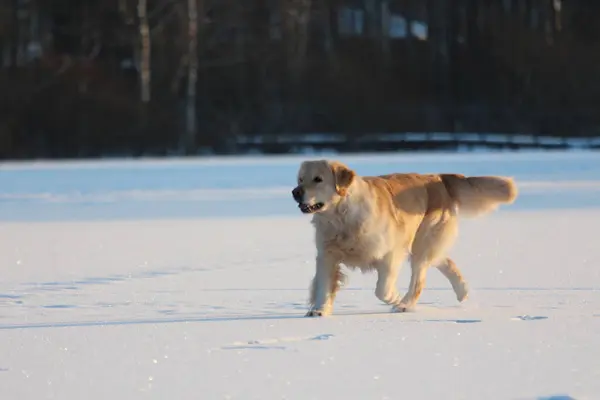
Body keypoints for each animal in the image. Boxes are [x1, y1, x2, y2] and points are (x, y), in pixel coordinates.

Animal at [290, 159, 516, 316]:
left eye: (318, 179)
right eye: (300, 179)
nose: (295, 192)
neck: (341, 218)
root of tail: (437, 177)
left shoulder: (391, 253)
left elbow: (382, 289)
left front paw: (395, 299)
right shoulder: (327, 255)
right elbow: (323, 285)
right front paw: (319, 310)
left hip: (421, 243)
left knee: (419, 280)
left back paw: (405, 305)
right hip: (424, 244)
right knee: (444, 260)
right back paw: (463, 291)